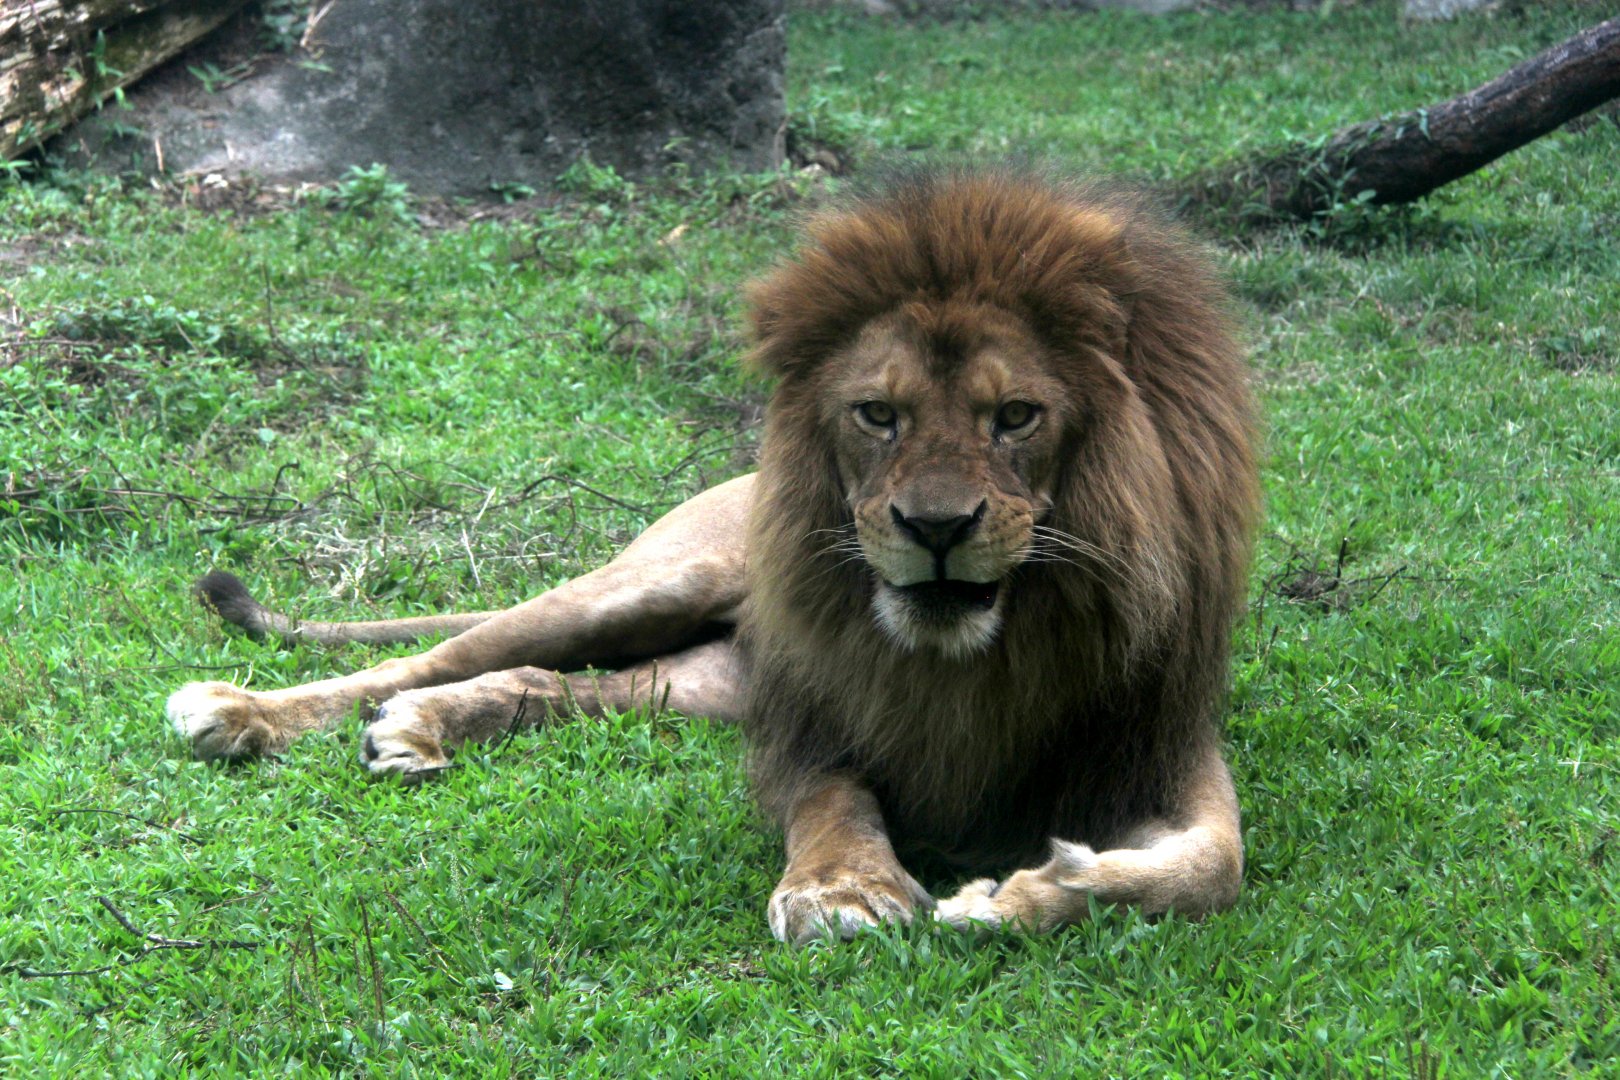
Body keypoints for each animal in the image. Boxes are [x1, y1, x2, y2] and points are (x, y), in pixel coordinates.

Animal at [167, 168, 1259, 943]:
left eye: (1017, 417)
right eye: (878, 414)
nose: (935, 527)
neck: (970, 660)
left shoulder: (1158, 741)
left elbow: (1212, 867)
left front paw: (1015, 897)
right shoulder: (814, 717)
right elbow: (832, 797)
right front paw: (843, 890)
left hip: (708, 683)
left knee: (549, 683)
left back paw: (421, 730)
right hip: (650, 587)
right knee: (429, 655)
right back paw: (239, 712)